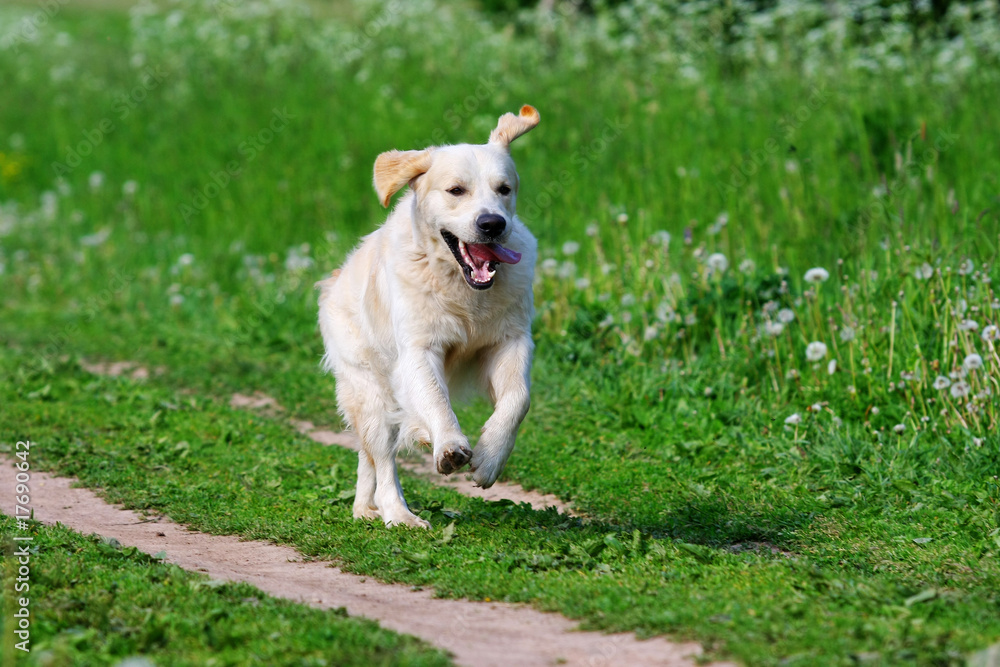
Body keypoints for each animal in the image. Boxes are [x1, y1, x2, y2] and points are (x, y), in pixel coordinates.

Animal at [318, 107, 540, 528]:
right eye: (456, 191)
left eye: (504, 189)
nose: (492, 224)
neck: (463, 291)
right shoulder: (418, 350)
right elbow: (436, 398)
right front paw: (450, 446)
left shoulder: (509, 340)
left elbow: (518, 398)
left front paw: (490, 458)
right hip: (370, 390)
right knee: (382, 461)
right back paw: (398, 514)